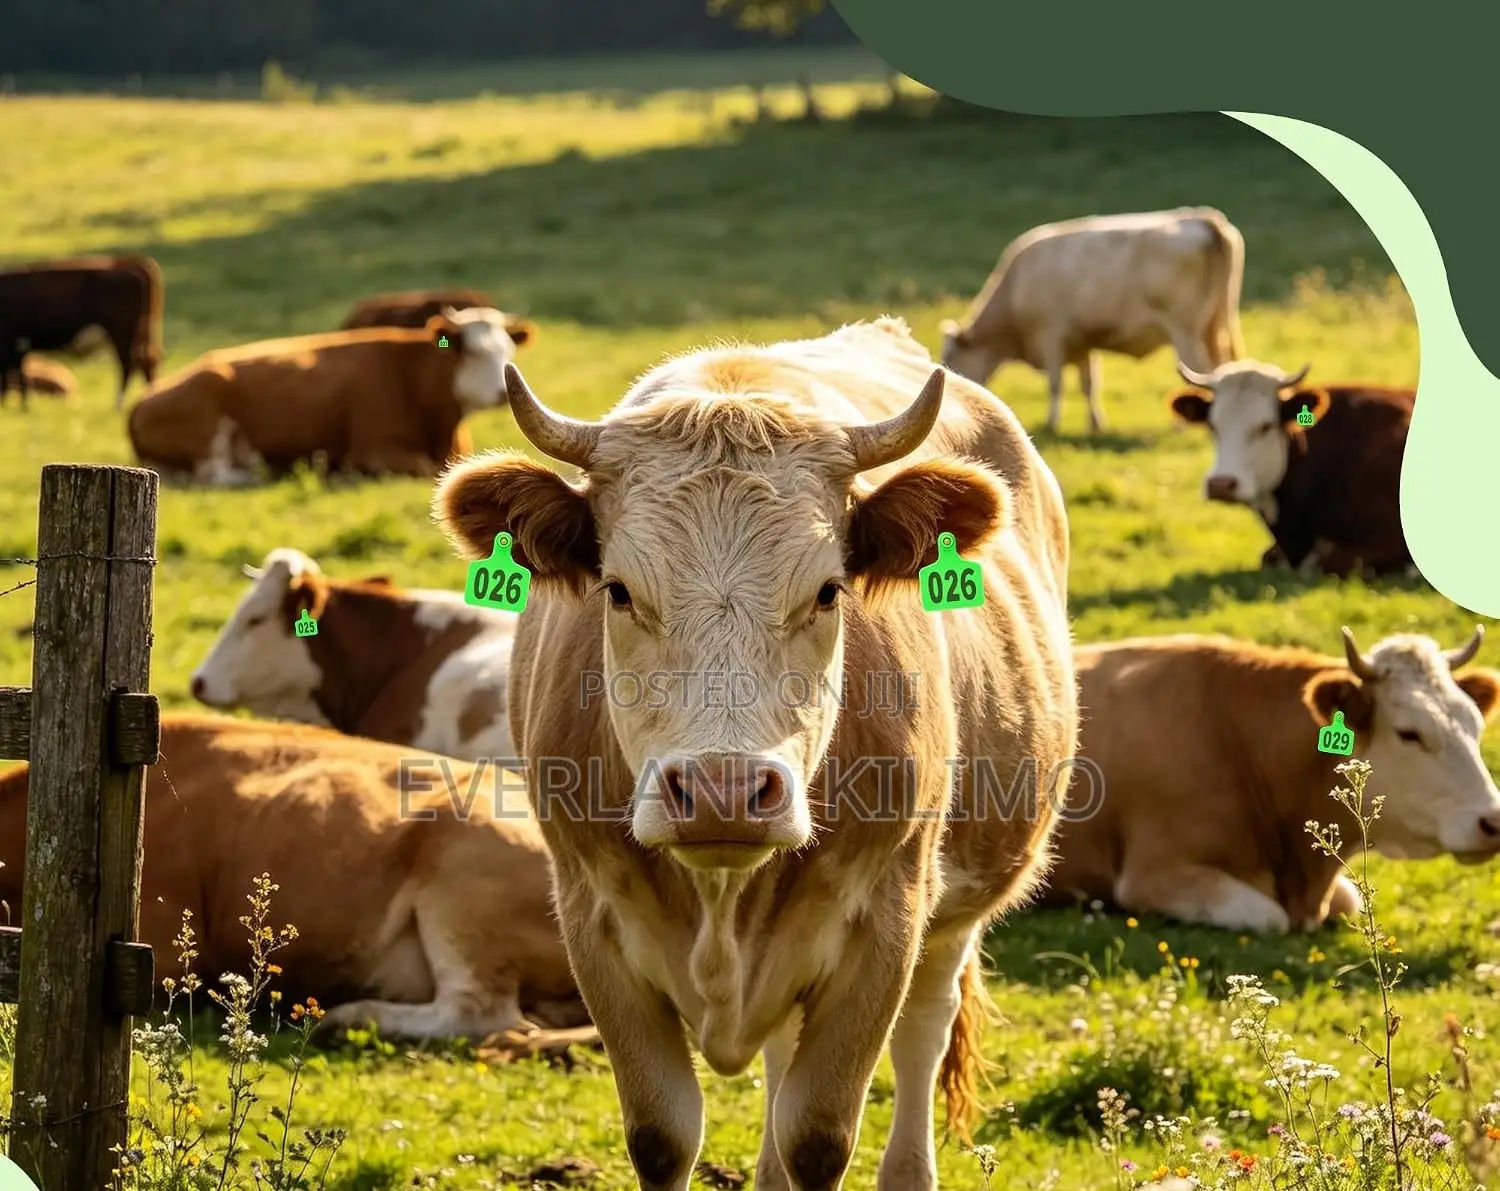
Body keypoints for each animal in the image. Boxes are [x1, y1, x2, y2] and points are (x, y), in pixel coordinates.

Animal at [0, 255, 164, 411]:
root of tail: (129, 262)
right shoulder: (18, 347)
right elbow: (18, 375)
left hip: (123, 335)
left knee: (129, 364)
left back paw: (118, 405)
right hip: (142, 334)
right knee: (147, 362)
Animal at [126, 306, 517, 487]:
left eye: (508, 350)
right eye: (474, 352)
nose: (503, 392)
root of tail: (143, 399)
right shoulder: (373, 449)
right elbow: (424, 468)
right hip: (210, 406)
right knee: (216, 474)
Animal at [431, 315, 1080, 1191]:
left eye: (829, 591)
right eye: (619, 590)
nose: (723, 791)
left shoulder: (885, 925)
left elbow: (818, 1136)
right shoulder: (591, 919)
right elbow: (664, 1134)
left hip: (951, 917)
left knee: (923, 1031)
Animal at [939, 207, 1246, 435]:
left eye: (949, 360)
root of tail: (1200, 217)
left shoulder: (1051, 336)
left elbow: (1056, 384)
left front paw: (1051, 424)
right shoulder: (1084, 343)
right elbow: (1089, 385)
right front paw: (1095, 424)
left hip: (1186, 332)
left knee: (1200, 372)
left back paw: (1181, 425)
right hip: (1214, 329)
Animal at [1039, 626, 1500, 934]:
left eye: (1474, 724)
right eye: (1410, 733)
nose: (1492, 822)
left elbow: (1350, 899)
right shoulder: (1154, 873)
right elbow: (1270, 917)